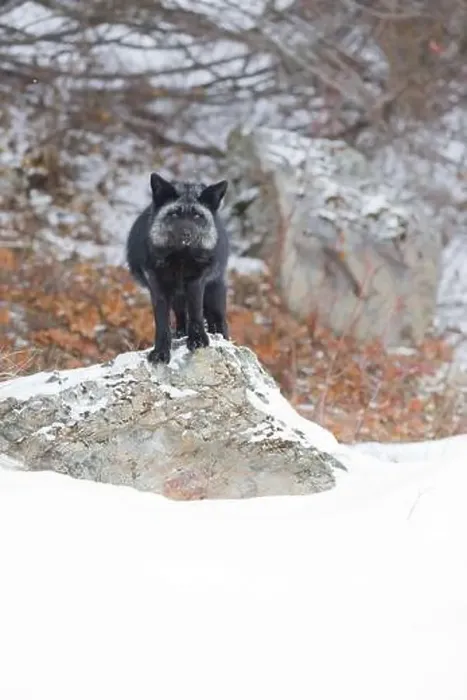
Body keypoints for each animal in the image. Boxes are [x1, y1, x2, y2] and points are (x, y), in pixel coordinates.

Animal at [126, 172, 230, 364]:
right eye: (174, 214)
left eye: (197, 216)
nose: (186, 234)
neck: (181, 260)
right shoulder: (158, 287)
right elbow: (162, 323)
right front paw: (161, 351)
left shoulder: (196, 282)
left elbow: (196, 314)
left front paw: (197, 341)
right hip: (176, 298)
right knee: (181, 316)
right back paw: (180, 334)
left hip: (214, 293)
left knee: (218, 320)